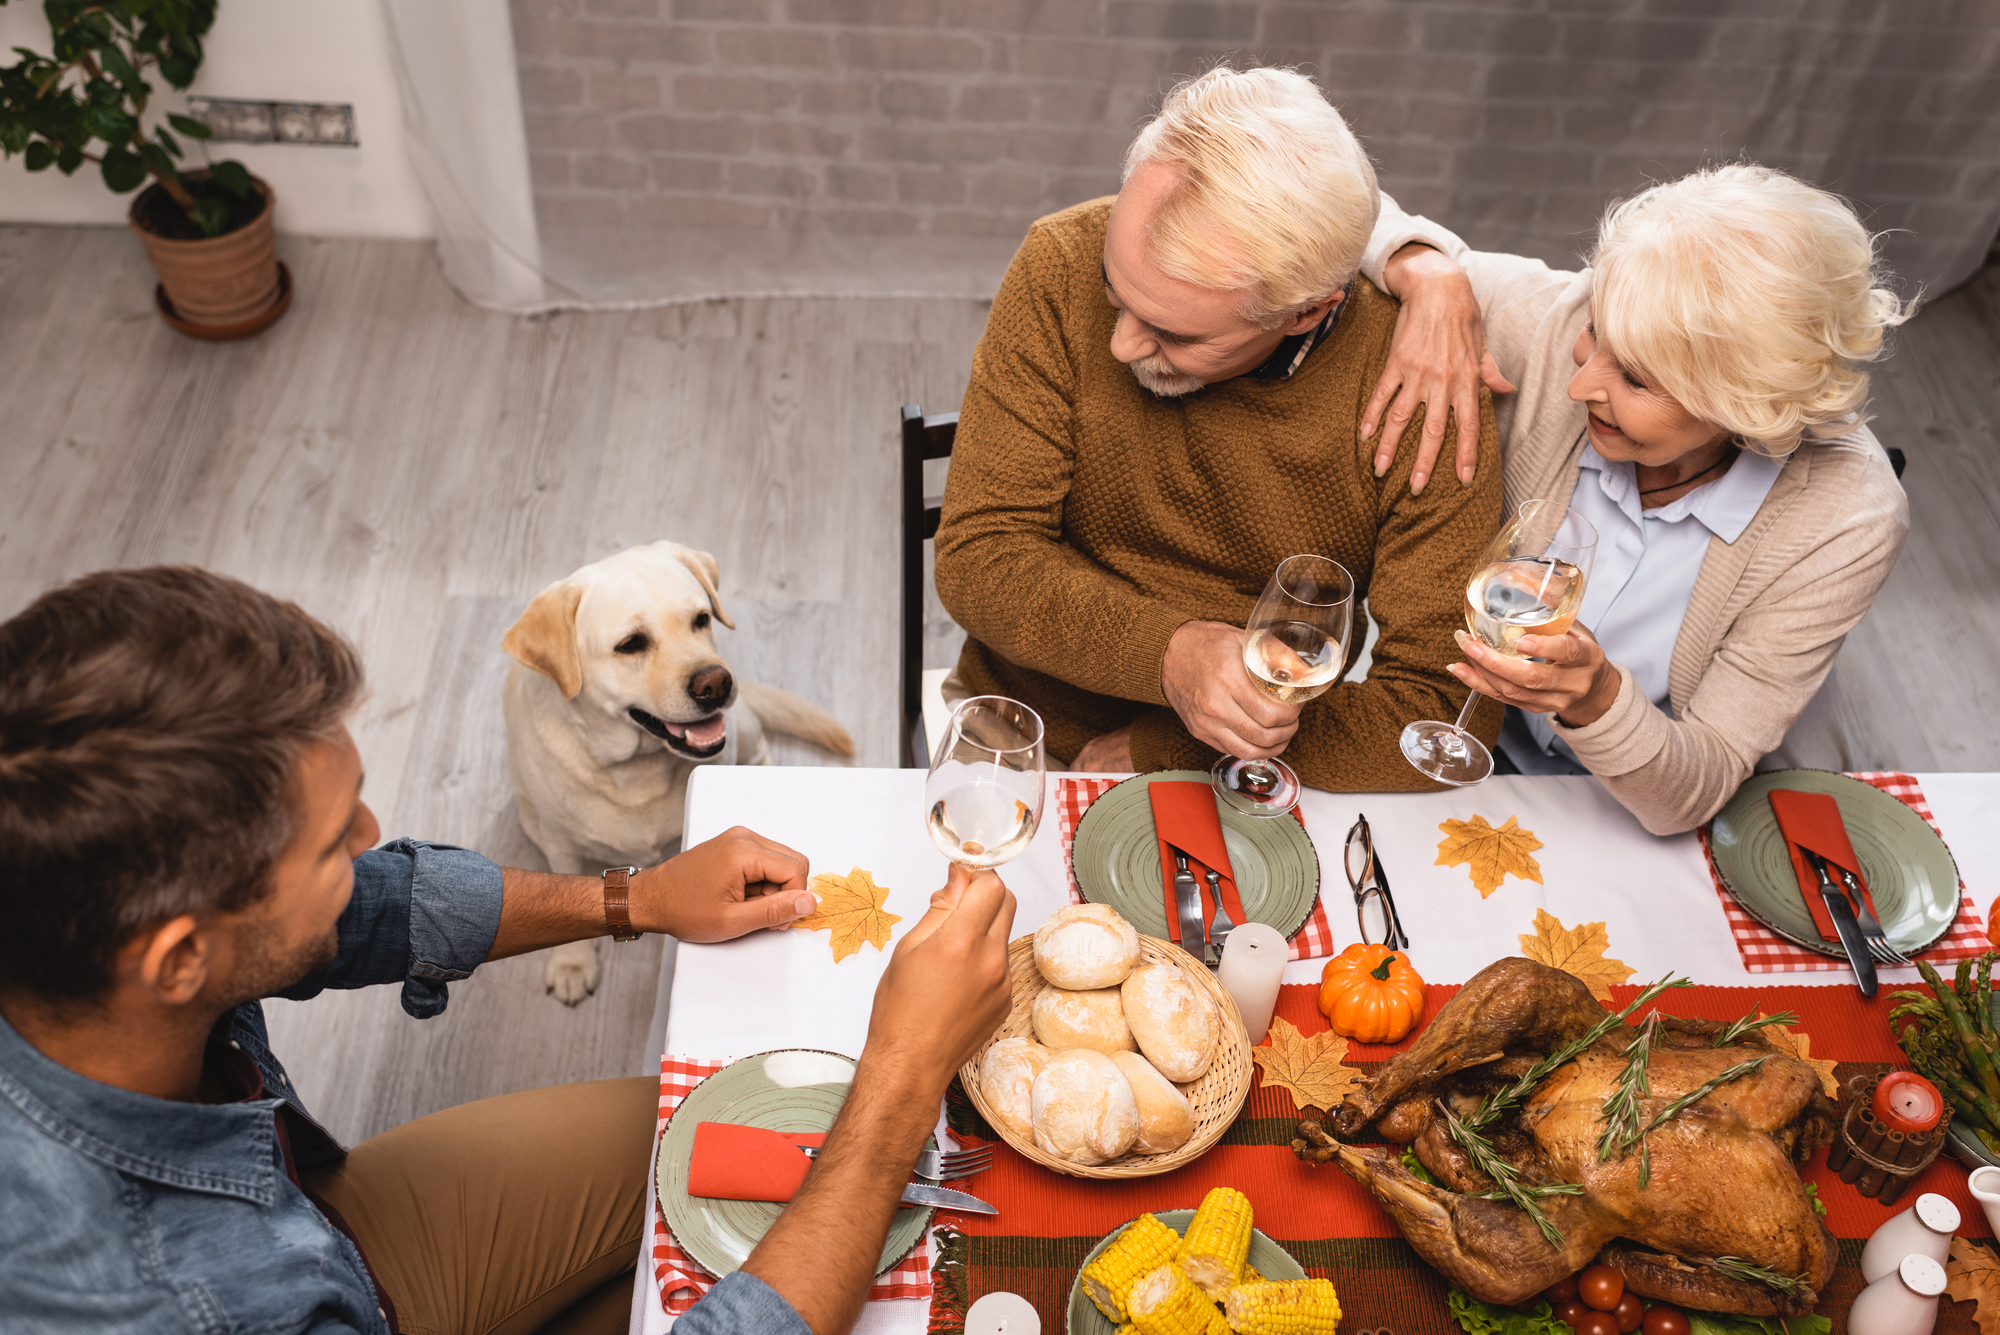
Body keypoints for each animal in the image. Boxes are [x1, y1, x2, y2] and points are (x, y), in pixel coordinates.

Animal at [500, 539, 852, 999]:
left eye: (701, 619)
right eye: (630, 644)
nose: (716, 684)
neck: (637, 768)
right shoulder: (561, 842)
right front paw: (572, 963)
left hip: (747, 729)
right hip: (532, 820)